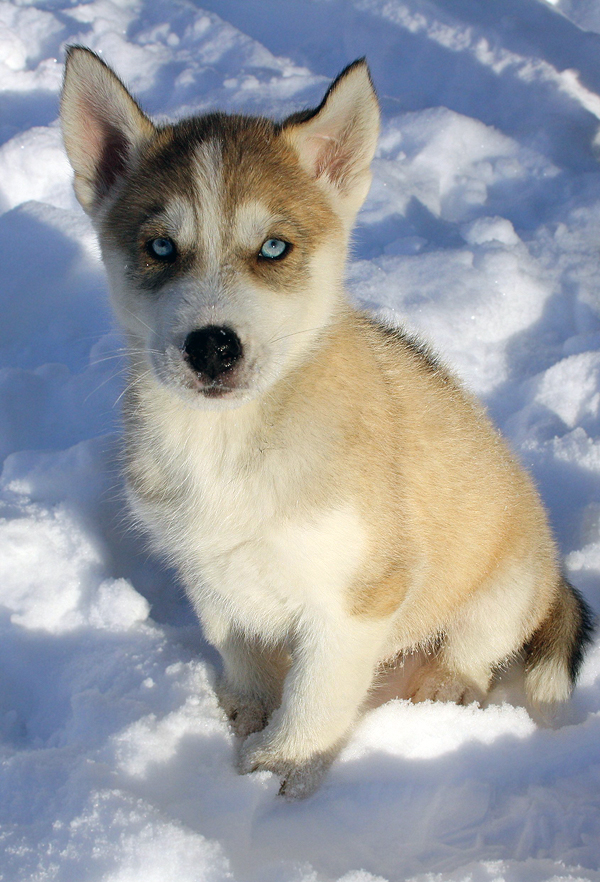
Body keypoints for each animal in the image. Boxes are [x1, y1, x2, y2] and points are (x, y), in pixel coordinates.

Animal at [58, 48, 592, 796]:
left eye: (274, 248)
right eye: (160, 248)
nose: (212, 347)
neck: (229, 442)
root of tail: (554, 570)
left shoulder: (355, 598)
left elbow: (318, 693)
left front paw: (282, 765)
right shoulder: (207, 568)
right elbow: (240, 647)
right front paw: (249, 711)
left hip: (505, 587)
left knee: (475, 654)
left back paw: (439, 689)